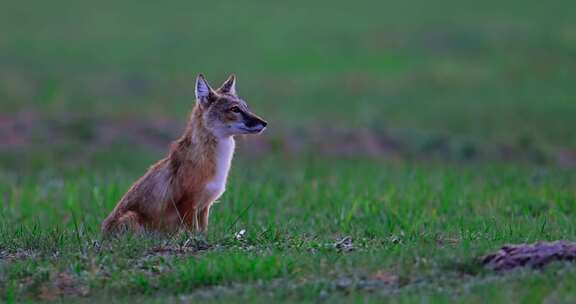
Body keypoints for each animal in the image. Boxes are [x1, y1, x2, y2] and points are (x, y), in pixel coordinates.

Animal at [102, 74, 268, 235]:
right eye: (235, 109)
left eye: (246, 107)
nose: (265, 123)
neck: (215, 161)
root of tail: (102, 235)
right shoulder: (188, 203)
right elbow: (193, 231)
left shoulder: (204, 207)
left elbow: (203, 231)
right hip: (132, 218)